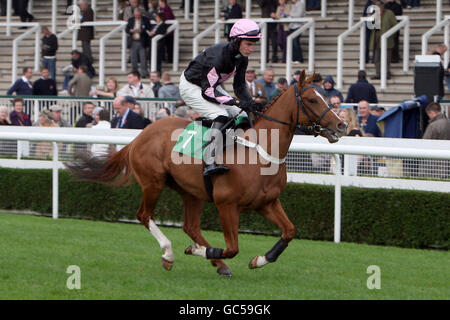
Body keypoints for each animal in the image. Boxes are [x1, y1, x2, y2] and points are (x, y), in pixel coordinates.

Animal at [66, 71, 344, 276]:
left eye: (323, 95)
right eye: (312, 99)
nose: (341, 125)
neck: (260, 153)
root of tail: (140, 135)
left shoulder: (267, 202)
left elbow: (289, 231)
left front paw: (259, 260)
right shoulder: (226, 205)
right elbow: (232, 247)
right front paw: (196, 252)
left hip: (192, 192)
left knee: (190, 226)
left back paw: (217, 264)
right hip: (153, 182)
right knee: (144, 215)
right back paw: (170, 253)